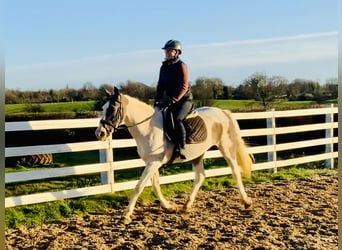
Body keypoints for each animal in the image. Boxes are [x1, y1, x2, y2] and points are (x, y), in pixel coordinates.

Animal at [95, 87, 252, 224]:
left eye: (112, 108)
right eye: (103, 108)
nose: (99, 133)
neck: (148, 128)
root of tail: (223, 112)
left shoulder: (153, 163)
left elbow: (139, 186)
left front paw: (126, 215)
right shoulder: (152, 162)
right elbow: (155, 185)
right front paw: (169, 206)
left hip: (226, 148)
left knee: (235, 171)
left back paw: (246, 201)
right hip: (198, 155)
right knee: (200, 176)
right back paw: (186, 206)